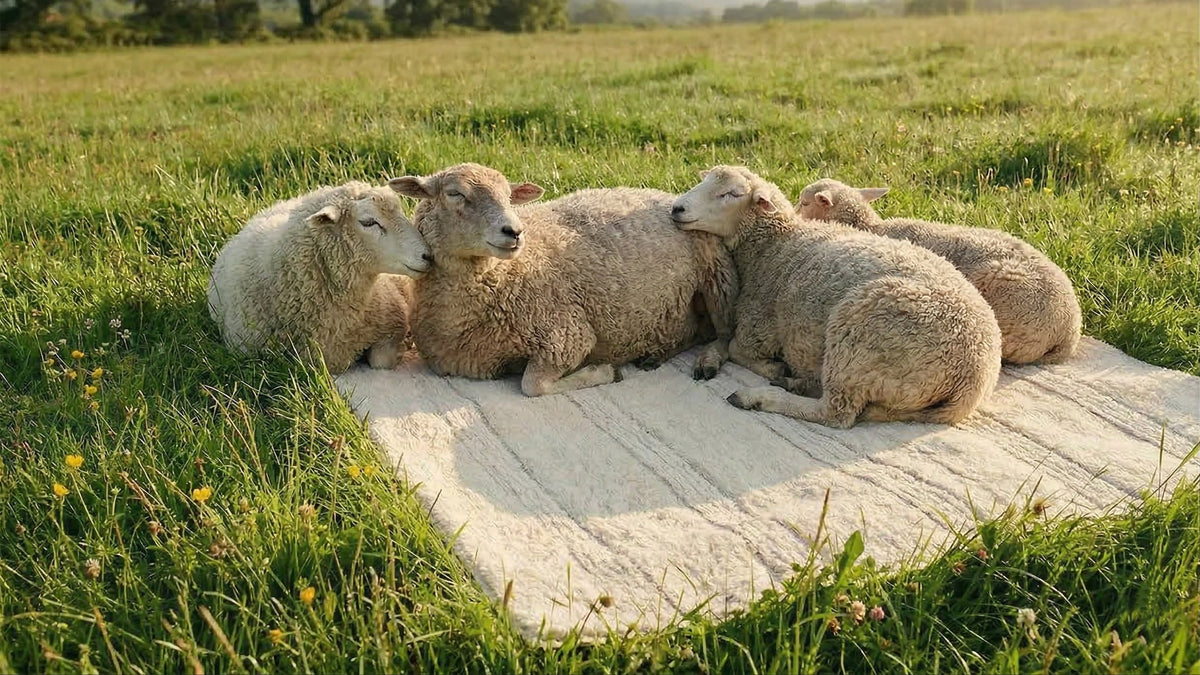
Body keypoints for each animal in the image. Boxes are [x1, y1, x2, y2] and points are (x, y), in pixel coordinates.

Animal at [387, 162, 738, 397]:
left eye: (509, 197)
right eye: (455, 194)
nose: (514, 231)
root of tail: (667, 195)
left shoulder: (568, 334)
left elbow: (533, 385)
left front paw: (603, 371)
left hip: (718, 277)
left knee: (723, 335)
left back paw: (705, 361)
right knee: (696, 330)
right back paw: (657, 353)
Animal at [671, 166, 1002, 428]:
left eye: (732, 193)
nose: (677, 208)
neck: (774, 244)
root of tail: (972, 380)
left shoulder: (759, 326)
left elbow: (737, 348)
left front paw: (771, 367)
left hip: (858, 341)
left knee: (835, 414)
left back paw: (762, 394)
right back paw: (796, 382)